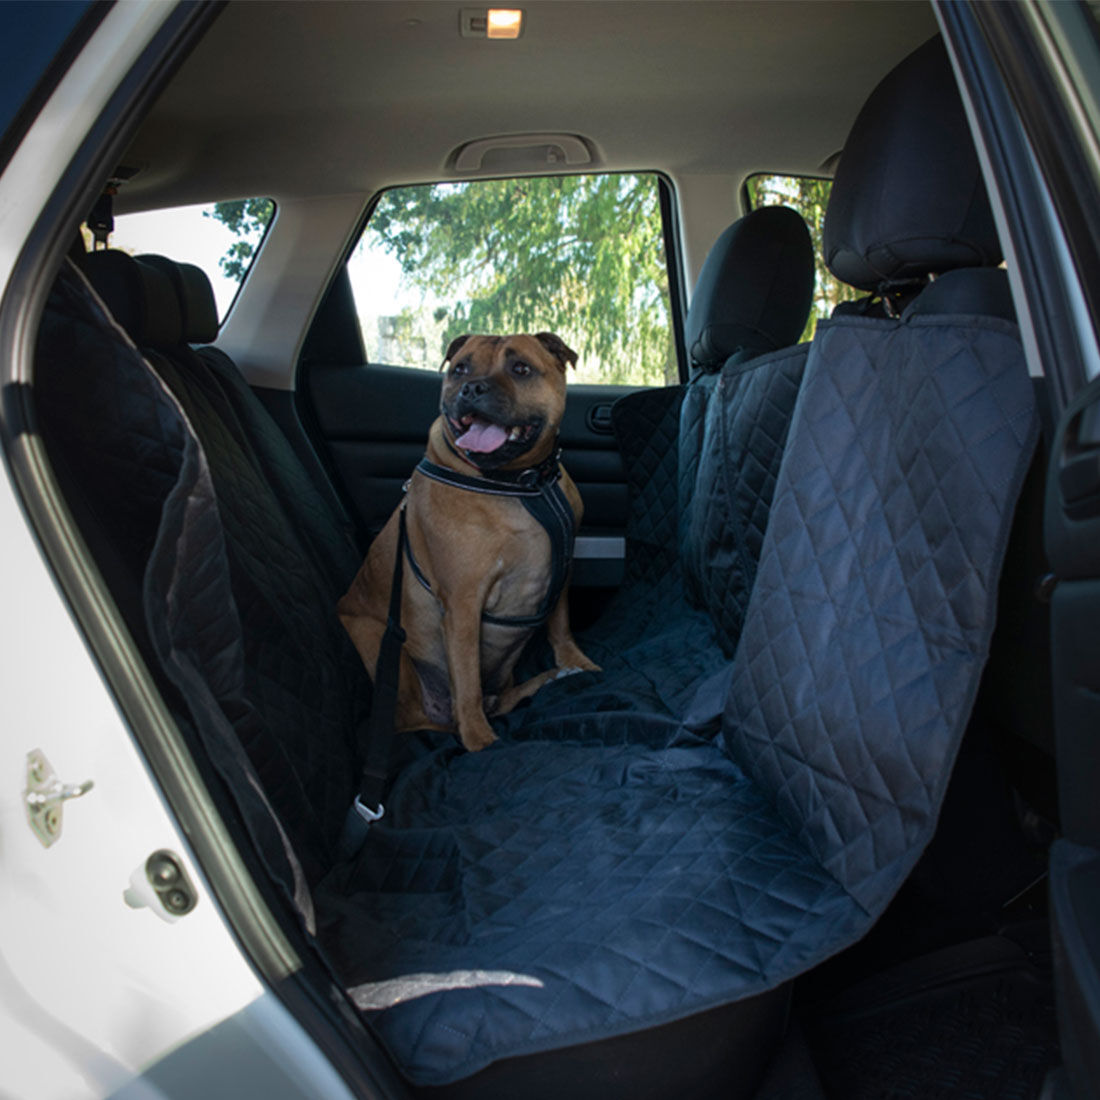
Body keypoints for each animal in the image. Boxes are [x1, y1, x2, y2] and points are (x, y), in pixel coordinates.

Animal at [341, 330, 602, 752]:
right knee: (419, 718)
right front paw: (480, 739)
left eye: (521, 368)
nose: (472, 388)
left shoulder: (562, 570)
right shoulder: (462, 604)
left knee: (497, 697)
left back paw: (546, 681)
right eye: (460, 369)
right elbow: (466, 682)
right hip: (379, 642)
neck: (520, 483)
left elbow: (561, 626)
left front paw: (575, 663)